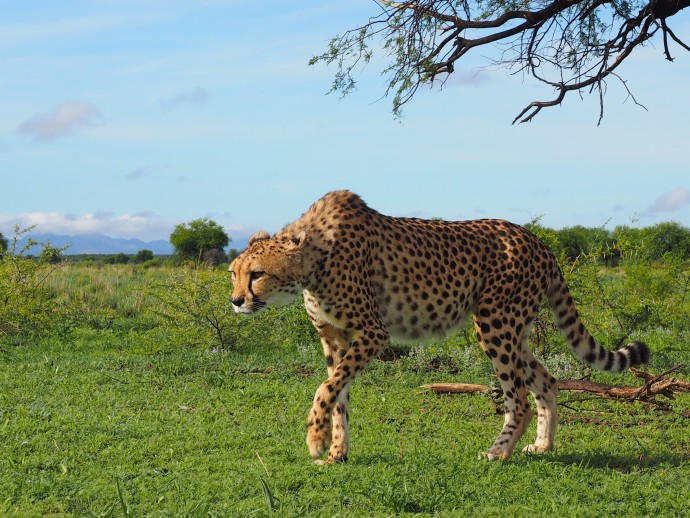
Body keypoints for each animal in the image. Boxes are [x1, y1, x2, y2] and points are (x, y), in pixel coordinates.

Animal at [228, 190, 648, 464]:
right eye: (233, 273)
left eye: (257, 274)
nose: (235, 301)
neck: (315, 259)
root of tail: (537, 239)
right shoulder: (334, 338)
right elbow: (338, 393)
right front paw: (335, 452)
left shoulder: (373, 333)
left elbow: (325, 388)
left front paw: (315, 440)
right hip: (516, 330)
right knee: (546, 380)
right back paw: (542, 446)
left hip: (494, 323)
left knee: (519, 396)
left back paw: (498, 452)